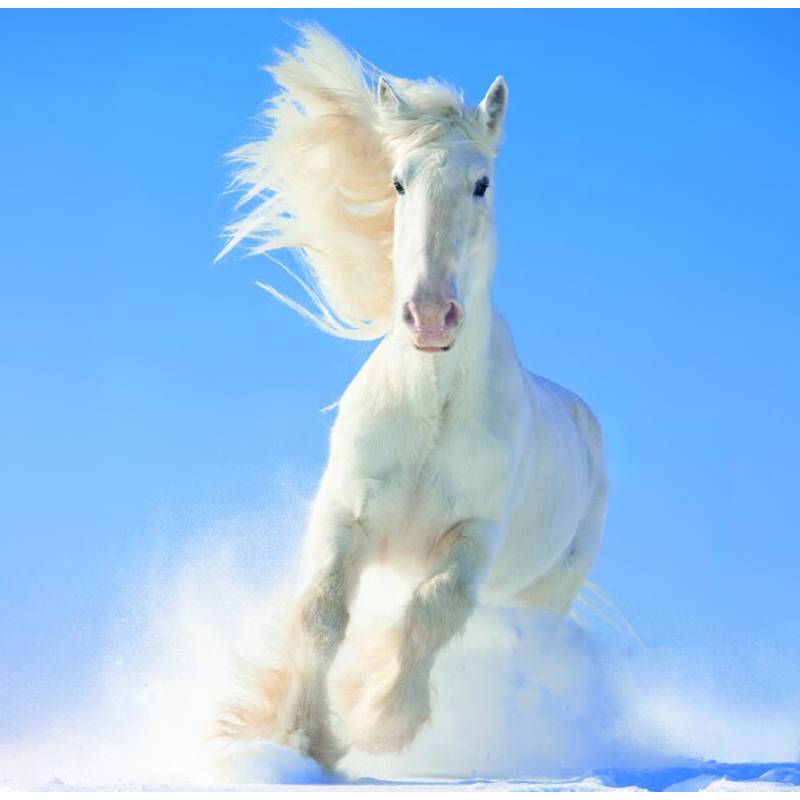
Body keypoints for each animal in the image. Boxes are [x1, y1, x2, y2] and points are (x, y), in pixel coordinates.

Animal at [215, 25, 607, 772]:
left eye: (482, 183)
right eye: (399, 181)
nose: (430, 317)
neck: (430, 411)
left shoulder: (472, 538)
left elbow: (432, 611)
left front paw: (380, 722)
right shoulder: (347, 514)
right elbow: (322, 614)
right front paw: (298, 737)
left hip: (544, 595)